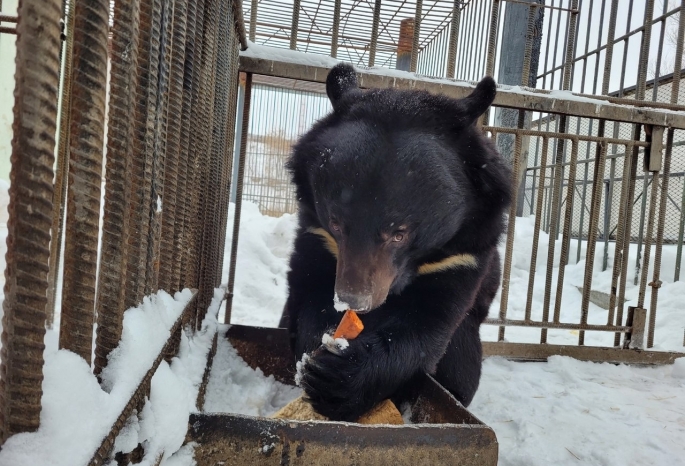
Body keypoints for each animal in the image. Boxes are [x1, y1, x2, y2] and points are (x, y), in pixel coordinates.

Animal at [276, 63, 508, 424]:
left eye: (400, 233)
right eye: (337, 223)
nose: (354, 301)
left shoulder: (462, 256)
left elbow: (424, 325)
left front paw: (339, 379)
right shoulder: (319, 236)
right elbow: (308, 293)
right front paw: (318, 353)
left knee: (462, 365)